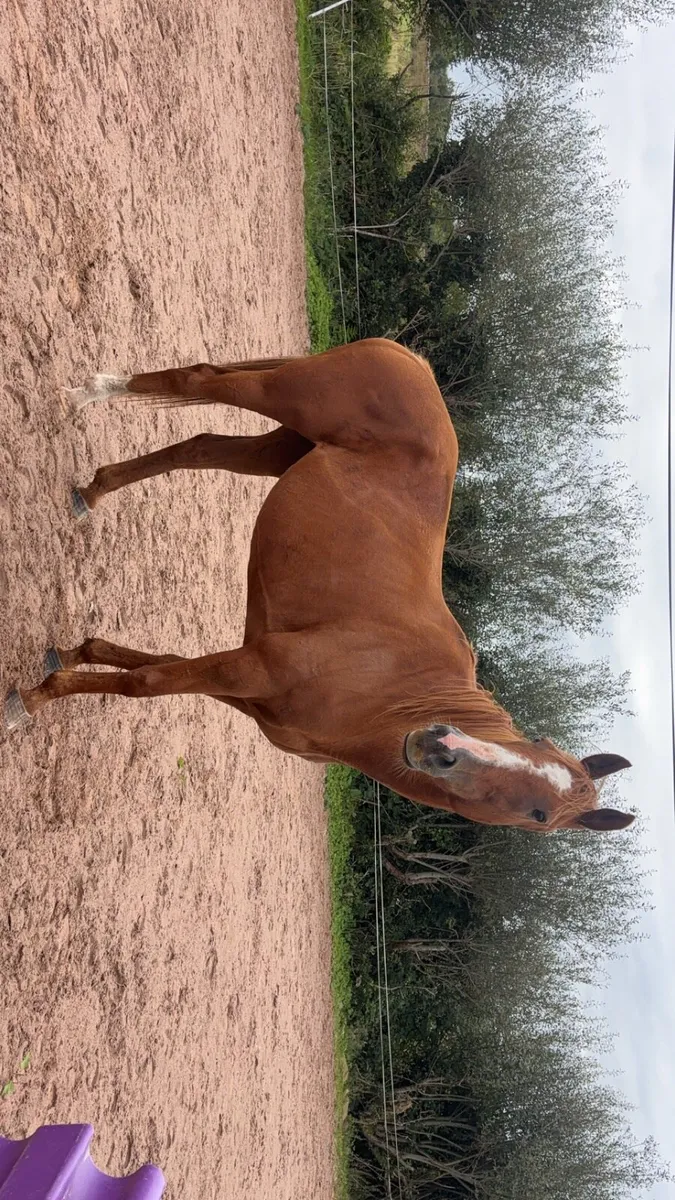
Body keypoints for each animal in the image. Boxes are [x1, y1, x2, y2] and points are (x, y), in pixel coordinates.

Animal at [5, 338, 633, 833]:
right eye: (534, 746)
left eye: (539, 815)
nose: (442, 746)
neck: (382, 700)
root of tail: (415, 363)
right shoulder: (252, 667)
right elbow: (144, 683)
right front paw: (28, 702)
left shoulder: (243, 683)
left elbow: (148, 666)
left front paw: (74, 652)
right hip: (283, 394)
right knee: (201, 380)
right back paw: (93, 392)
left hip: (279, 448)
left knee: (200, 444)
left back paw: (91, 491)